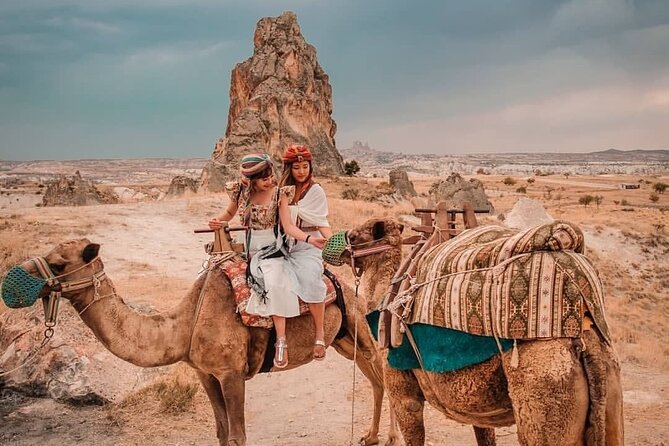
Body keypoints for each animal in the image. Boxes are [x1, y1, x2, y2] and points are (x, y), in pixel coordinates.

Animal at [16, 239, 399, 446]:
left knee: (383, 370)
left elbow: (238, 435)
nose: (18, 276)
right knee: (375, 379)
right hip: (341, 339)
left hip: (358, 322)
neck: (186, 325)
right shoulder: (204, 372)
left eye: (57, 263)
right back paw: (370, 436)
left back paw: (391, 436)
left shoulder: (231, 373)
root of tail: (343, 280)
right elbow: (221, 433)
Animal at [340, 218, 625, 446]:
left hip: (545, 390)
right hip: (609, 388)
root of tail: (585, 336)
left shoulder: (402, 390)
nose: (340, 249)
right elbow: (484, 436)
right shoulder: (475, 406)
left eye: (354, 237)